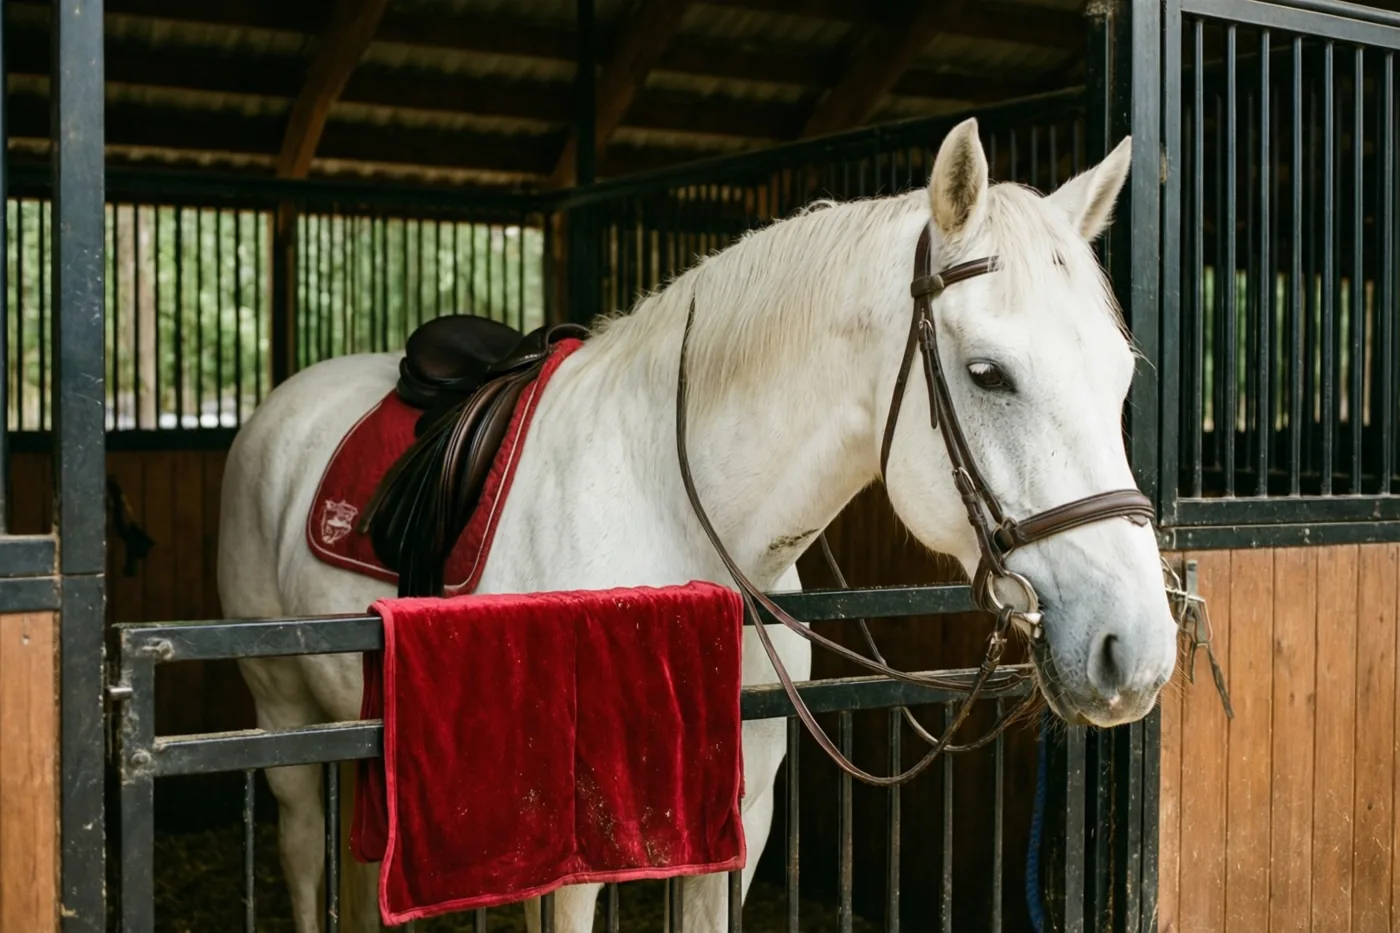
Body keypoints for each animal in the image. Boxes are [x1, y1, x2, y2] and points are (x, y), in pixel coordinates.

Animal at [218, 117, 1178, 932]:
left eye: (1119, 375)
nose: (1134, 648)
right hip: (282, 717)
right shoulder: (570, 862)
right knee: (301, 852)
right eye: (987, 373)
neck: (679, 523)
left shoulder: (736, 822)